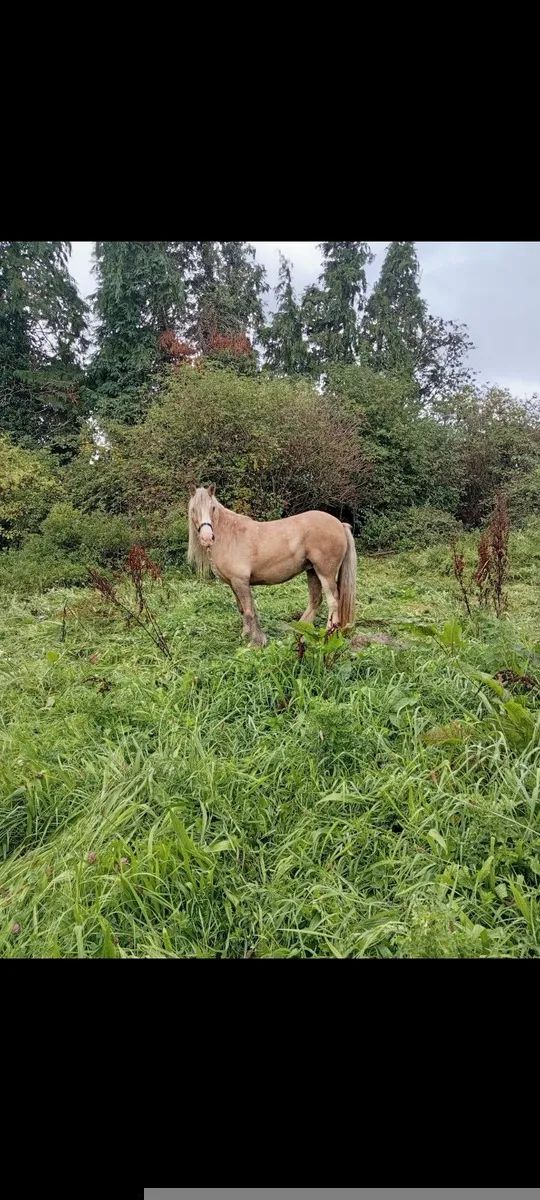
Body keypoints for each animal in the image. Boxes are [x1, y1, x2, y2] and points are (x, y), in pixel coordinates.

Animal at [187, 484, 357, 647]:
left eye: (212, 508)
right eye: (193, 509)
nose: (207, 538)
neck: (230, 535)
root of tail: (339, 524)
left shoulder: (240, 581)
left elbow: (249, 611)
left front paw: (255, 641)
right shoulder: (233, 583)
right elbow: (242, 609)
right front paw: (245, 635)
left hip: (325, 573)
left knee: (333, 601)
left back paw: (329, 633)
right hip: (312, 571)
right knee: (315, 600)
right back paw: (300, 629)